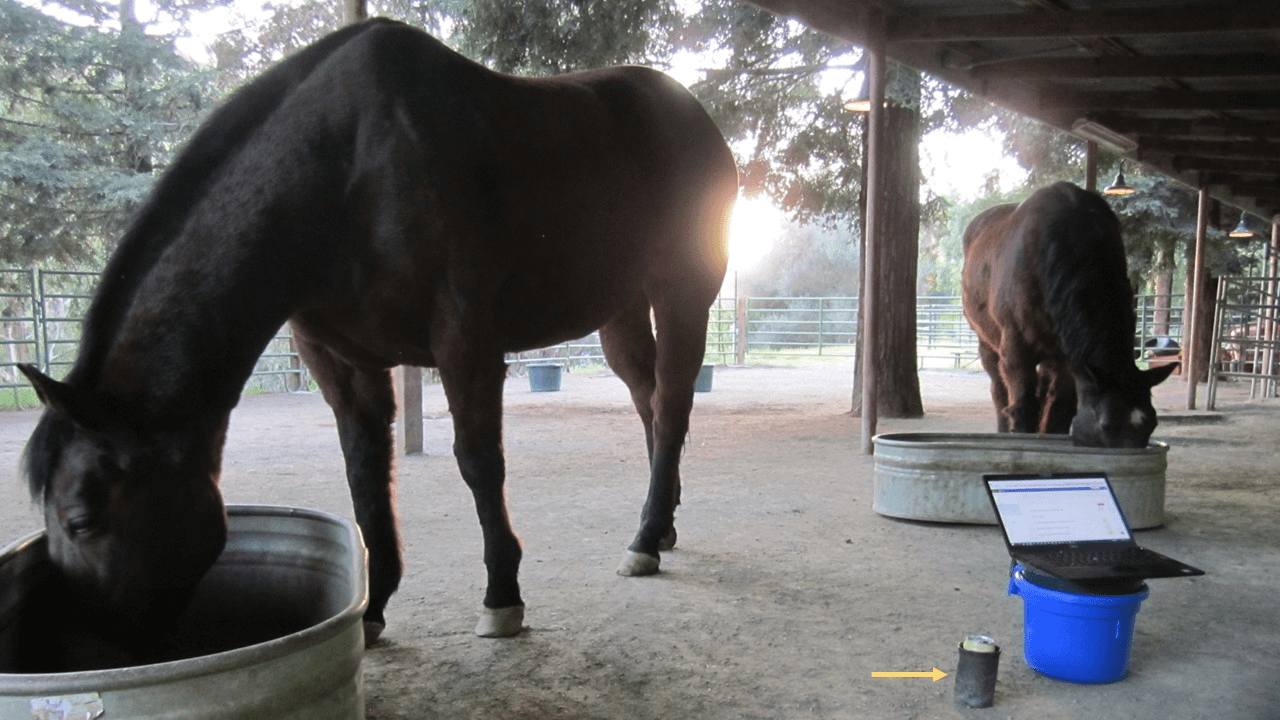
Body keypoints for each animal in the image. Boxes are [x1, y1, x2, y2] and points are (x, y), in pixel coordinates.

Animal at [18, 17, 737, 655]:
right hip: (619, 311)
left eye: (81, 520)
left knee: (673, 405)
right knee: (649, 401)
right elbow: (364, 473)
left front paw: (501, 597)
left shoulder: (464, 343)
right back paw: (660, 526)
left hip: (682, 295)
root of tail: (694, 118)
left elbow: (479, 463)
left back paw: (645, 540)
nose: (96, 649)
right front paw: (374, 608)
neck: (343, 169)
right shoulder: (342, 362)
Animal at [960, 182, 1176, 448]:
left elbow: (1058, 411)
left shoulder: (1068, 360)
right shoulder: (1016, 352)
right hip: (987, 344)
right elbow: (1023, 407)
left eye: (1153, 423)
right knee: (999, 391)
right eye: (1105, 425)